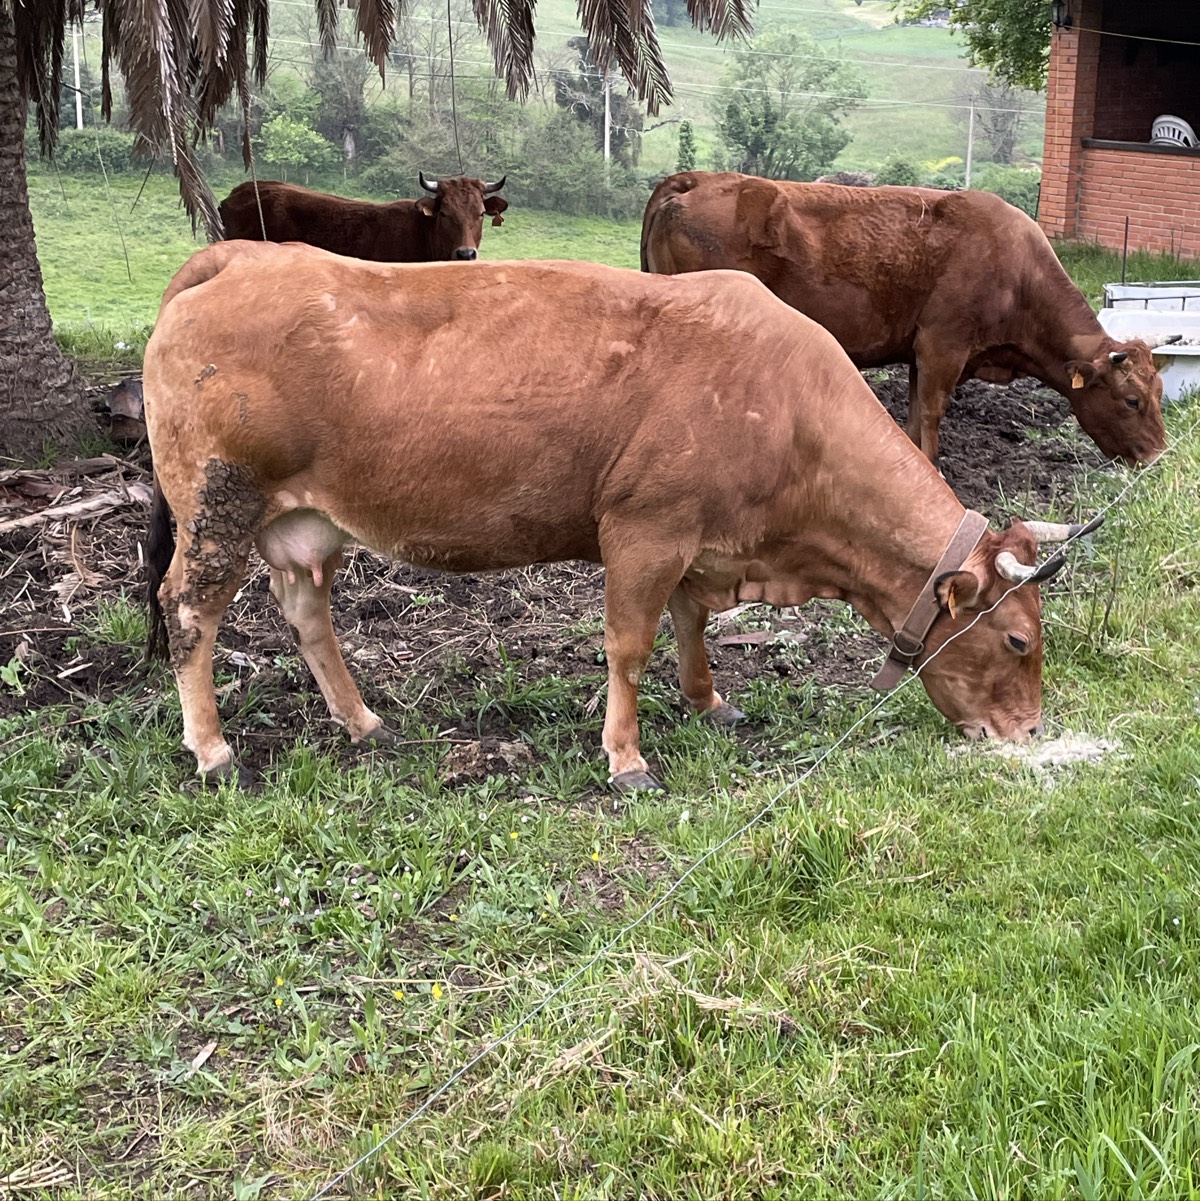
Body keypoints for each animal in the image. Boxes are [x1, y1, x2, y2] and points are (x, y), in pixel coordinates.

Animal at [143, 242, 1096, 789]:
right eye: (1019, 638)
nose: (1030, 731)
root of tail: (240, 258)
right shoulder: (645, 528)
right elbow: (630, 644)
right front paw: (627, 756)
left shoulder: (698, 540)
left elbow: (692, 621)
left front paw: (710, 701)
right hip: (219, 502)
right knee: (188, 610)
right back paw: (213, 749)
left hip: (302, 522)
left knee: (307, 612)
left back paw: (362, 720)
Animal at [640, 171, 1166, 467]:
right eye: (1133, 400)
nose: (1158, 456)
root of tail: (698, 178)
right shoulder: (942, 346)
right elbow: (931, 417)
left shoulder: (920, 354)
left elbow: (914, 420)